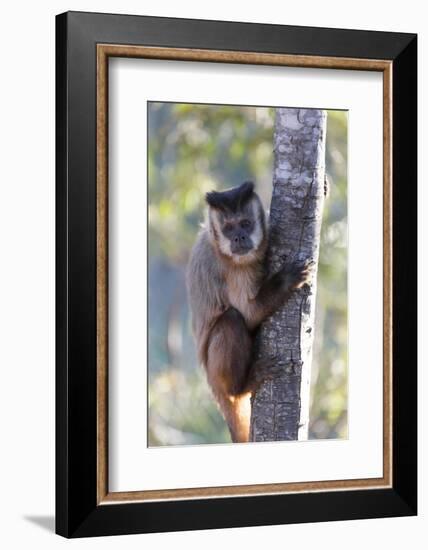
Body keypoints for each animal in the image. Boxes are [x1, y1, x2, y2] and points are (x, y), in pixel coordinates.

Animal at [186, 181, 312, 444]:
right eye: (228, 228)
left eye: (245, 224)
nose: (239, 237)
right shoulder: (231, 268)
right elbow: (249, 313)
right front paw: (285, 280)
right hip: (216, 374)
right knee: (232, 319)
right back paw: (242, 386)